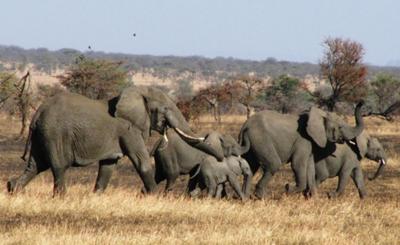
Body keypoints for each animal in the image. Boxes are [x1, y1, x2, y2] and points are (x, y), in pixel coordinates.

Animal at [238, 101, 366, 199]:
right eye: (340, 127)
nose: (362, 102)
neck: (318, 114)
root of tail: (245, 125)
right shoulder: (303, 140)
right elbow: (298, 164)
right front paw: (288, 189)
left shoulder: (310, 143)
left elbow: (310, 167)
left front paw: (313, 198)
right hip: (261, 139)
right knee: (273, 164)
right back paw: (261, 197)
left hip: (253, 142)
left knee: (250, 166)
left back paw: (245, 197)